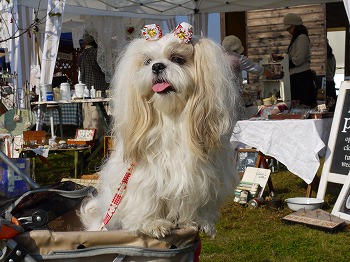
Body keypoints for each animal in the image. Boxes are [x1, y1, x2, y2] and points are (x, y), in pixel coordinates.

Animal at [80, 23, 242, 238]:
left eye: (178, 59)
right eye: (147, 61)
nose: (157, 66)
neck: (171, 118)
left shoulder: (202, 177)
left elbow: (197, 203)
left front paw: (198, 222)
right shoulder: (144, 177)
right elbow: (147, 200)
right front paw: (153, 224)